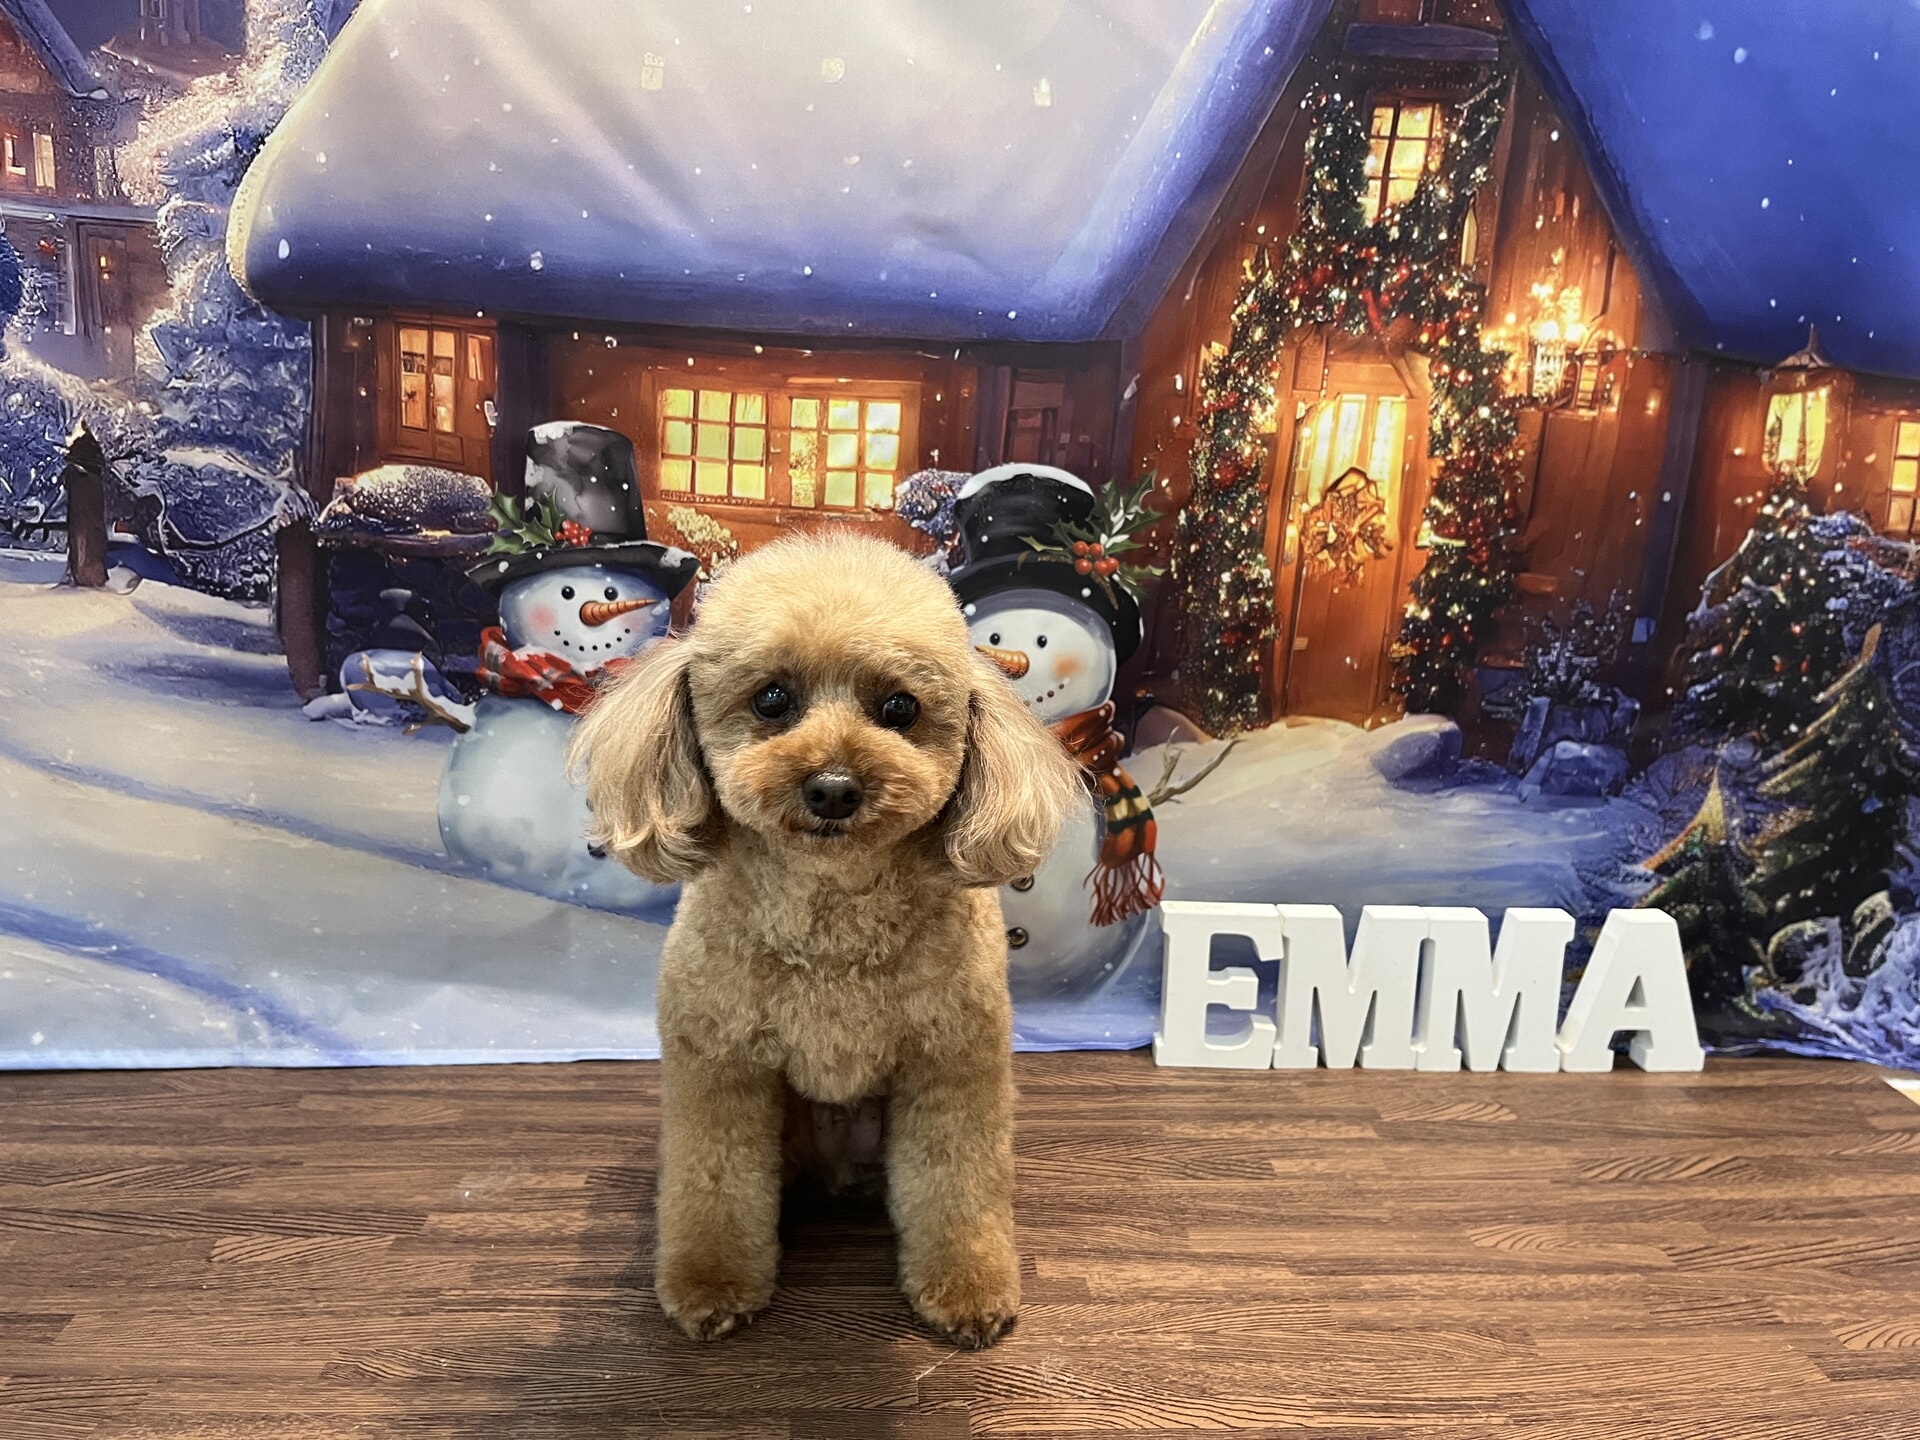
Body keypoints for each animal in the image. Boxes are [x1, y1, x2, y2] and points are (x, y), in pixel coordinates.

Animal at [571, 531, 1083, 1348]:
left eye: (900, 707)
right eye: (772, 698)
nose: (835, 787)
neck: (832, 914)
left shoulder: (952, 1062)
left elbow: (957, 1182)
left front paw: (968, 1288)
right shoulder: (719, 1065)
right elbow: (715, 1182)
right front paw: (711, 1283)